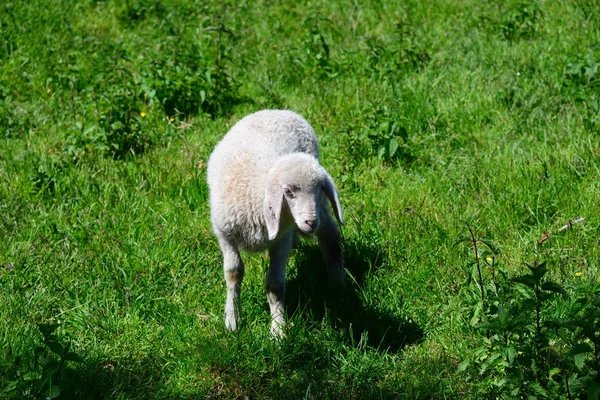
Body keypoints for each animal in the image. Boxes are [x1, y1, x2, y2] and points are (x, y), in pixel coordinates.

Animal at [207, 109, 344, 338]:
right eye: (287, 191)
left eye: (319, 188)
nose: (310, 222)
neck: (255, 191)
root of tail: (280, 110)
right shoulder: (225, 235)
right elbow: (233, 273)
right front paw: (232, 319)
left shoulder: (281, 240)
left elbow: (275, 285)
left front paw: (278, 330)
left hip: (322, 210)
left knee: (331, 237)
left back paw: (337, 286)